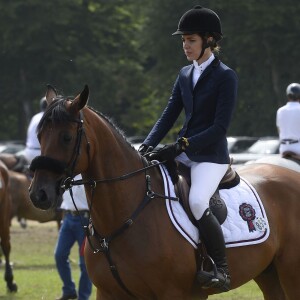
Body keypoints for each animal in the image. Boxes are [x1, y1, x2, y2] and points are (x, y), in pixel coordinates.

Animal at [29, 85, 300, 300]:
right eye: (39, 135)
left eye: (66, 137)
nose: (38, 194)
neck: (125, 214)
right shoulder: (108, 293)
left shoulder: (175, 293)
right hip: (269, 273)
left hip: (290, 273)